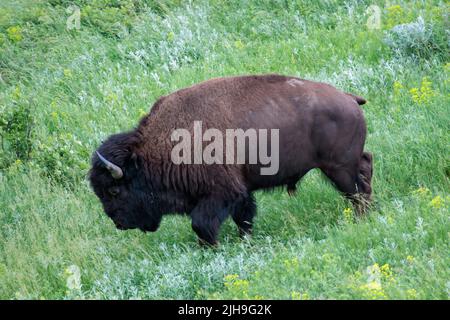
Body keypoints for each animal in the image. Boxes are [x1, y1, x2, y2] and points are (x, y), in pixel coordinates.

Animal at [89, 74, 372, 245]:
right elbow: (243, 218)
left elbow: (202, 224)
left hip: (338, 168)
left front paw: (211, 248)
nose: (118, 223)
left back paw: (361, 220)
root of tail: (348, 98)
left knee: (356, 191)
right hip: (346, 165)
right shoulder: (240, 192)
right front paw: (245, 241)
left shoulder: (221, 193)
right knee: (366, 169)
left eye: (113, 190)